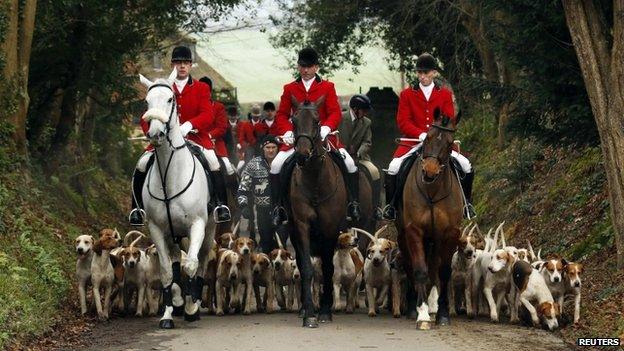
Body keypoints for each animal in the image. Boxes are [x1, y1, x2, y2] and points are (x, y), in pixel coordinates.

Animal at [136, 69, 214, 330]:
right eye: (147, 102)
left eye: (171, 100)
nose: (155, 134)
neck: (170, 175)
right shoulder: (157, 228)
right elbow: (167, 271)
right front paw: (169, 313)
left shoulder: (197, 224)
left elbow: (191, 264)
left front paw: (190, 307)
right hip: (173, 233)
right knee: (176, 259)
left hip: (209, 229)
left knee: (200, 260)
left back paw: (194, 302)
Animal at [288, 95, 352, 328]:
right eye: (293, 120)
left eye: (317, 121)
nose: (302, 155)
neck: (315, 178)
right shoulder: (302, 225)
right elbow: (307, 268)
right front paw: (309, 313)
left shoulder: (330, 228)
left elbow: (327, 269)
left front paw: (325, 310)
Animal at [394, 109, 464, 330]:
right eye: (428, 138)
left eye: (450, 143)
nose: (430, 172)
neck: (432, 190)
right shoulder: (414, 231)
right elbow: (420, 271)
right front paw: (422, 314)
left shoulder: (450, 233)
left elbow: (443, 271)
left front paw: (442, 313)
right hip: (404, 236)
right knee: (411, 265)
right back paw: (413, 307)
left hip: (435, 238)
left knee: (434, 266)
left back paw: (433, 304)